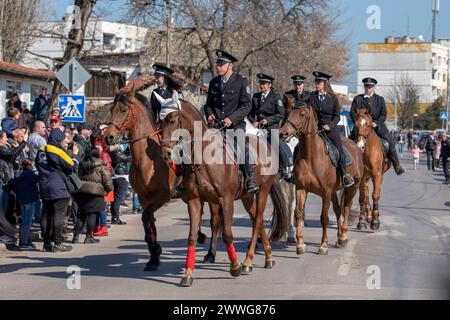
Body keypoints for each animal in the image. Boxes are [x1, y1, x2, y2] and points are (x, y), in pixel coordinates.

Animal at [106, 85, 215, 272]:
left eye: (123, 110)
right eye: (111, 109)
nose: (109, 137)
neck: (147, 159)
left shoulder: (162, 196)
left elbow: (146, 218)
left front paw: (156, 251)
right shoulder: (143, 198)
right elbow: (149, 223)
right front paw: (153, 258)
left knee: (216, 222)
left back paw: (210, 254)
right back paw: (200, 235)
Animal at [156, 91, 286, 286]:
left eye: (172, 120)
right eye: (159, 121)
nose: (166, 154)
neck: (204, 157)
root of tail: (267, 145)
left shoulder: (226, 200)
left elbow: (227, 234)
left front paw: (235, 267)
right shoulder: (194, 201)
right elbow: (192, 236)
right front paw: (188, 274)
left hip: (263, 190)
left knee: (257, 221)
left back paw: (247, 262)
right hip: (247, 196)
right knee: (257, 219)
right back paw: (268, 256)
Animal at [280, 104, 364, 254]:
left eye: (301, 114)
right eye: (288, 113)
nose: (283, 133)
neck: (311, 156)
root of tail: (355, 147)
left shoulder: (326, 192)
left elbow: (324, 217)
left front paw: (323, 245)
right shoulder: (301, 188)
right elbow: (298, 214)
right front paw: (300, 244)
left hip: (353, 187)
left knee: (346, 208)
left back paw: (343, 236)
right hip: (334, 192)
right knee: (338, 209)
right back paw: (338, 239)